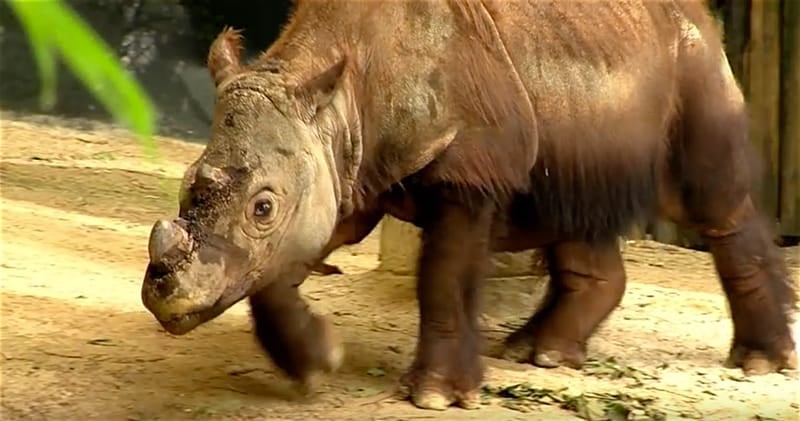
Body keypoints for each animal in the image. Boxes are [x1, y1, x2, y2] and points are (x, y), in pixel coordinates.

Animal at [141, 0, 796, 410]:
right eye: (186, 183)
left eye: (262, 207)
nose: (164, 294)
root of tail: (699, 15)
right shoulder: (340, 169)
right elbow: (275, 273)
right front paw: (317, 363)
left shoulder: (468, 172)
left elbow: (444, 275)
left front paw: (435, 396)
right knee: (574, 210)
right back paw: (540, 354)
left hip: (692, 57)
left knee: (711, 201)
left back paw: (760, 363)